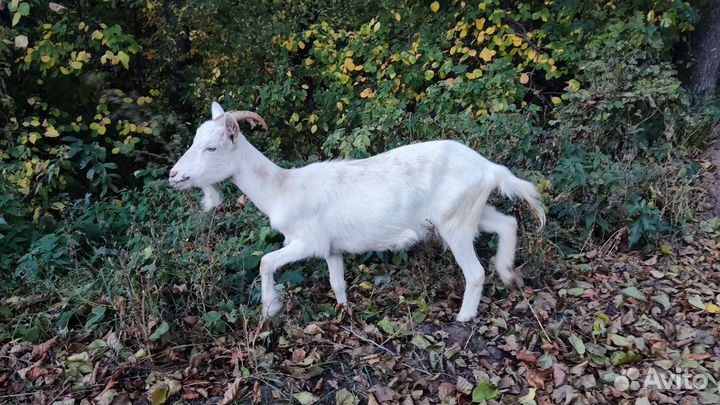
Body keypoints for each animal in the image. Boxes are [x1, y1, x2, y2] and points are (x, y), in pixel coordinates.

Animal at [169, 102, 545, 322]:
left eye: (211, 147)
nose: (174, 175)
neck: (282, 188)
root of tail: (489, 168)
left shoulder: (308, 242)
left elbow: (264, 262)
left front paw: (270, 310)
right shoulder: (331, 249)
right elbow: (336, 282)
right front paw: (343, 310)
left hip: (454, 223)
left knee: (475, 272)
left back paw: (464, 317)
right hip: (471, 212)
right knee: (507, 223)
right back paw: (508, 273)